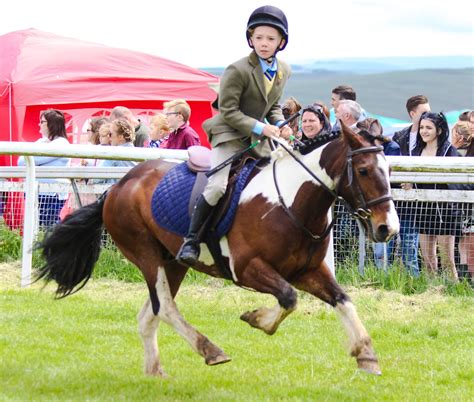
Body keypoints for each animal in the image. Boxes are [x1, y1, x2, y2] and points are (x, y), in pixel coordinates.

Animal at [38, 123, 400, 376]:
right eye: (364, 171)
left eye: (389, 171)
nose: (388, 228)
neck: (292, 201)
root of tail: (118, 186)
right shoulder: (248, 268)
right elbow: (288, 298)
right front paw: (256, 319)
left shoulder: (308, 271)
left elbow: (343, 300)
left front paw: (367, 355)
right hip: (146, 255)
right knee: (164, 308)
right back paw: (210, 350)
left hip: (173, 262)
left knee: (149, 315)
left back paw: (155, 371)